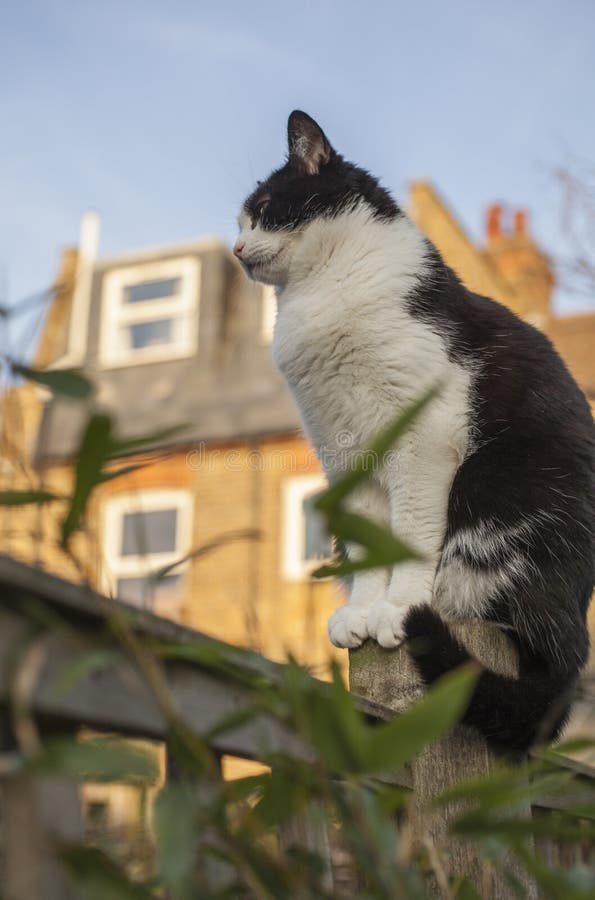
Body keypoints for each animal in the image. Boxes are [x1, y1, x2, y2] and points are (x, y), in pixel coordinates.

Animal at [236, 109, 595, 748]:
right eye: (241, 219)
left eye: (266, 208)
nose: (234, 248)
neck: (325, 294)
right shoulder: (345, 454)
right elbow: (366, 545)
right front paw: (362, 612)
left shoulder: (422, 441)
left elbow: (411, 535)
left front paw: (396, 610)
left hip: (496, 486)